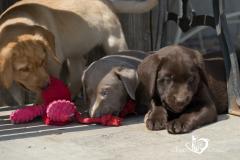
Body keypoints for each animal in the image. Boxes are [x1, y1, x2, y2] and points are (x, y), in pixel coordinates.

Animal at [0, 0, 158, 100]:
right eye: (24, 69)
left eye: (42, 62)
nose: (45, 85)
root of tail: (106, 2)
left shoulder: (54, 61)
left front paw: (40, 104)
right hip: (75, 54)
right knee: (77, 75)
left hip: (114, 40)